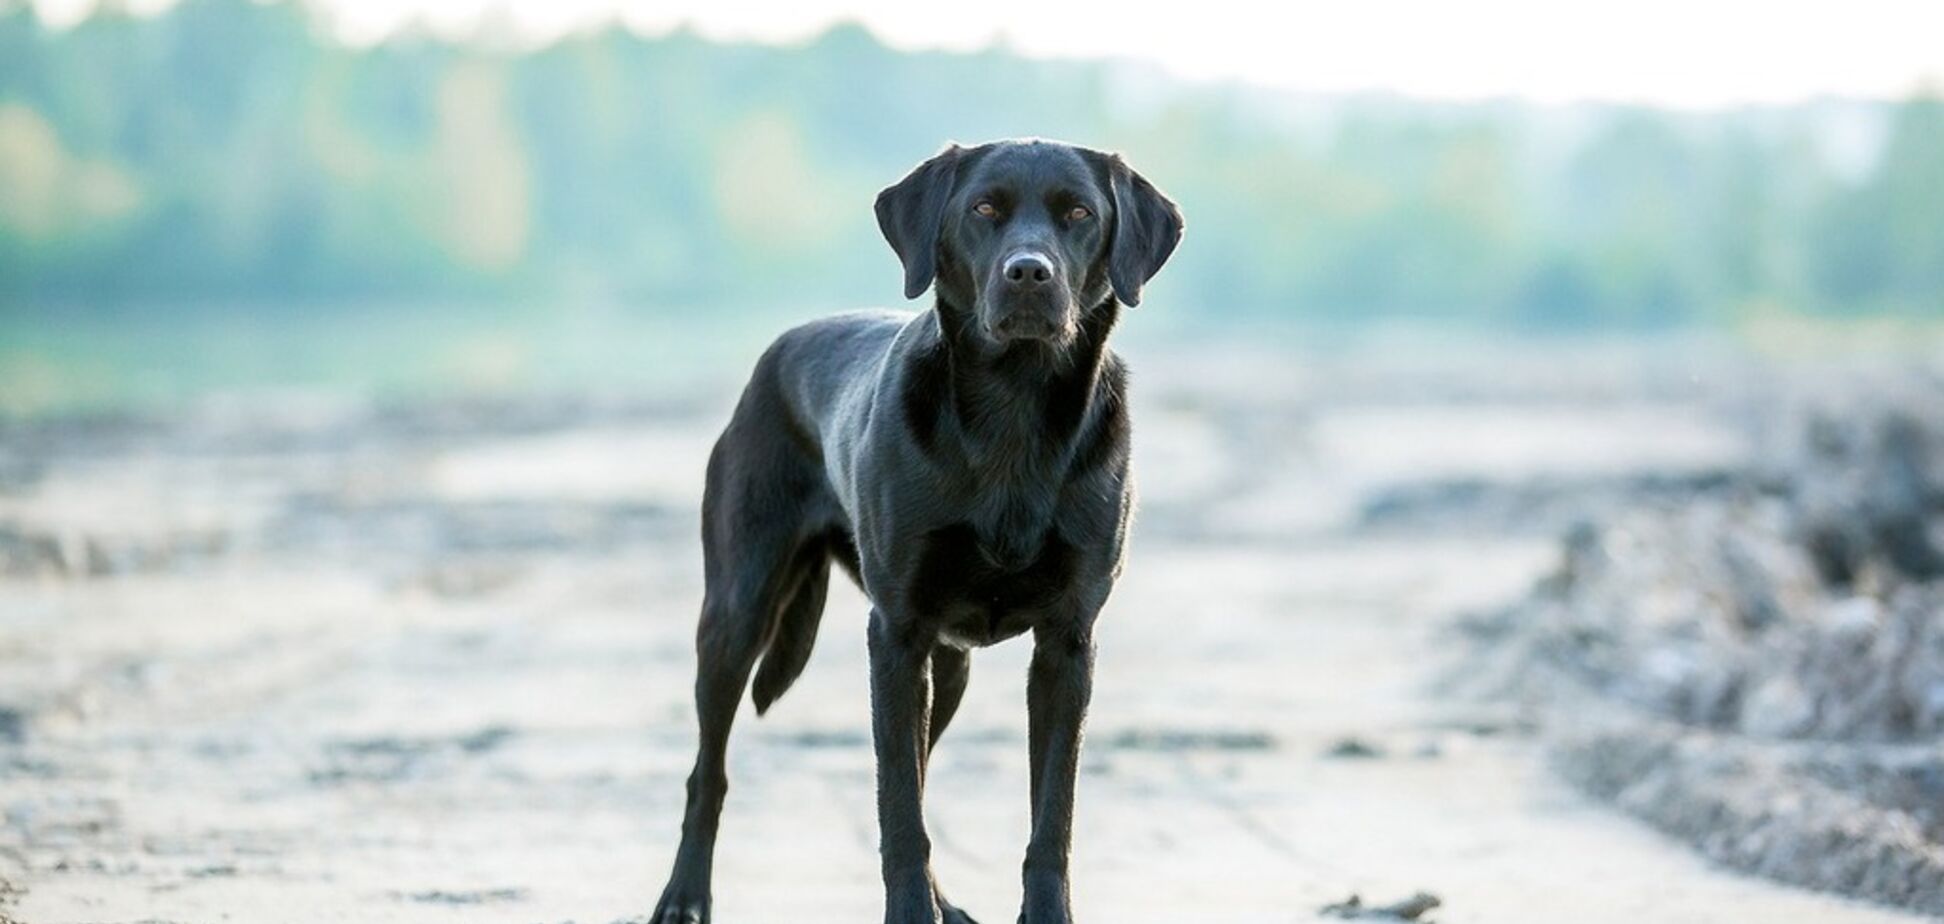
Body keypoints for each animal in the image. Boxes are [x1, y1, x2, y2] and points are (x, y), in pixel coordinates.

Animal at [653, 139, 1174, 924]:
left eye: (1080, 214)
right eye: (984, 208)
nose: (1029, 273)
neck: (1014, 411)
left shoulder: (1067, 644)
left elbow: (1049, 815)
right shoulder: (896, 635)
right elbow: (899, 806)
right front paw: (908, 911)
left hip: (947, 666)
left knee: (924, 766)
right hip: (736, 615)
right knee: (708, 774)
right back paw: (684, 897)